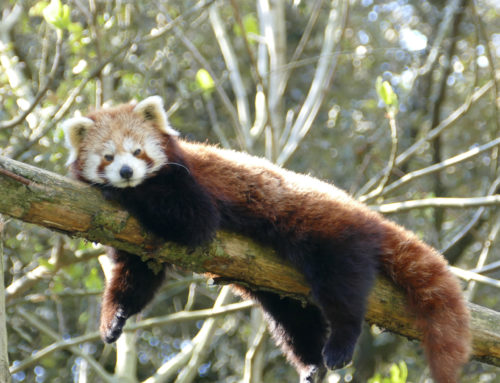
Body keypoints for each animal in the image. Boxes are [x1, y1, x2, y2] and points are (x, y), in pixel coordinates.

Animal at [62, 96, 468, 383]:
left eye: (138, 151)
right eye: (108, 156)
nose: (126, 172)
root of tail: (366, 213)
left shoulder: (188, 184)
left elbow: (194, 222)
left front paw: (126, 191)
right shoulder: (136, 240)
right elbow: (137, 276)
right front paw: (113, 320)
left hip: (333, 238)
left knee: (344, 292)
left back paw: (339, 345)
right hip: (279, 285)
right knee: (291, 319)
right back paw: (310, 362)